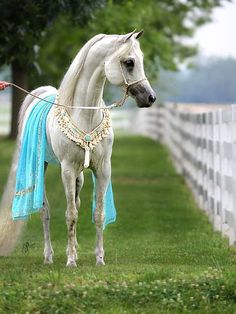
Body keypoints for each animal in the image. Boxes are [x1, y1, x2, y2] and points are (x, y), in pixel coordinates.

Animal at [0, 31, 157, 264]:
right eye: (129, 62)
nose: (150, 98)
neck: (85, 114)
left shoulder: (103, 169)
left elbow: (98, 213)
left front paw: (99, 258)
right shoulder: (67, 170)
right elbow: (70, 214)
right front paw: (71, 261)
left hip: (79, 177)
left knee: (76, 202)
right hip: (43, 167)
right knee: (45, 211)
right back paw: (49, 256)